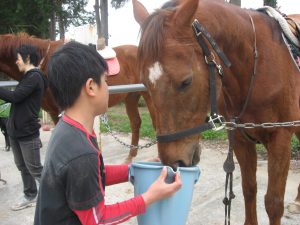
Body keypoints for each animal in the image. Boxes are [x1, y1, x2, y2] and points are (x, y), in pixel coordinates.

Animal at [0, 33, 156, 163]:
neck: (44, 64)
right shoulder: (54, 112)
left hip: (148, 94)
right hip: (131, 96)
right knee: (135, 122)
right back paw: (131, 156)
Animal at [133, 0, 300, 224]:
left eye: (186, 81)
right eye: (145, 84)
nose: (174, 163)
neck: (257, 64)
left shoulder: (280, 138)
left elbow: (273, 204)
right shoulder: (240, 139)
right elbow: (249, 189)